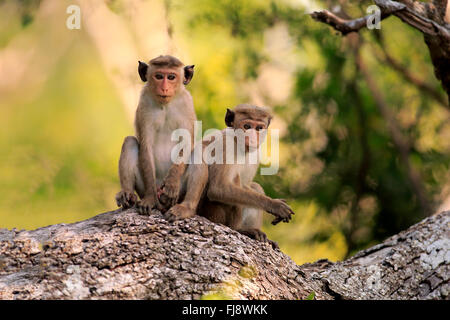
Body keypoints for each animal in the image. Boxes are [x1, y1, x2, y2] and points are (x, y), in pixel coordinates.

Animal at [114, 55, 195, 215]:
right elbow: (146, 145)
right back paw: (128, 194)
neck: (166, 105)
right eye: (158, 76)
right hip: (143, 188)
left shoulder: (187, 104)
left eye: (171, 77)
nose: (164, 87)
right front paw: (150, 199)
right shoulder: (144, 104)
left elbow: (187, 142)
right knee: (130, 142)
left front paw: (172, 183)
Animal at [163, 104, 294, 249]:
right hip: (211, 212)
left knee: (255, 187)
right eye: (247, 126)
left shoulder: (256, 153)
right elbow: (218, 188)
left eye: (259, 128)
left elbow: (246, 185)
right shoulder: (226, 147)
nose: (253, 137)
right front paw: (274, 205)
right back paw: (237, 229)